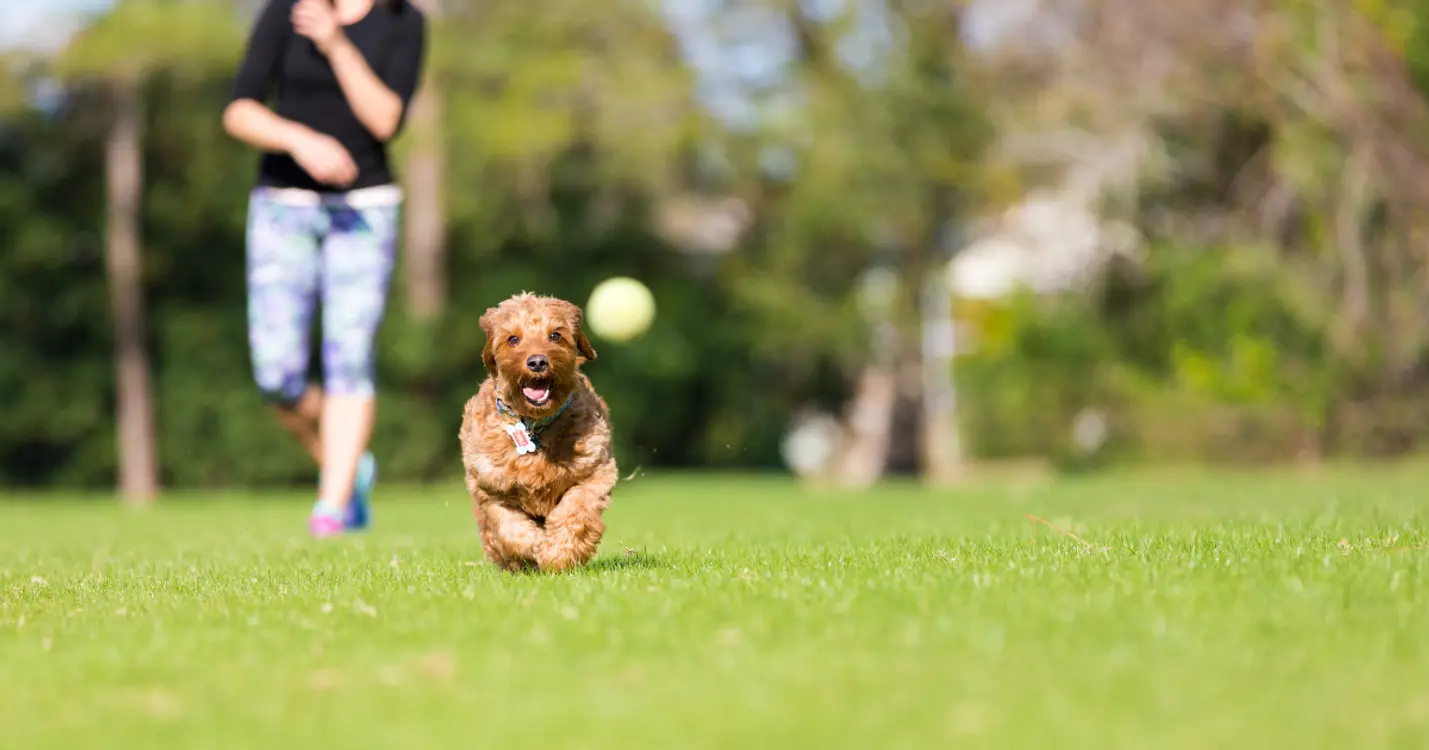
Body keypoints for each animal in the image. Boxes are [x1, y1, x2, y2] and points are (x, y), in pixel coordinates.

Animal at [457, 290, 614, 571]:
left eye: (555, 335)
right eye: (513, 339)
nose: (538, 361)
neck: (534, 425)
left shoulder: (596, 471)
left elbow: (575, 511)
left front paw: (557, 553)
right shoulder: (489, 487)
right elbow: (509, 529)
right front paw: (534, 546)